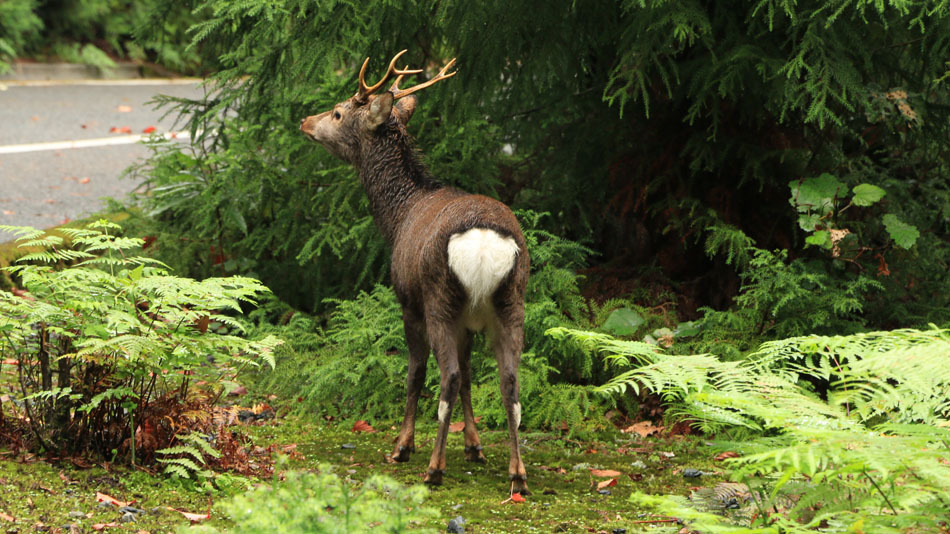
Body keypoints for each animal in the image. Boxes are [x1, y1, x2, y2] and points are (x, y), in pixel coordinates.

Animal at [302, 51, 532, 498]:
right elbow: (471, 376)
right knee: (509, 382)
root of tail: (484, 243)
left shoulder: (407, 300)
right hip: (510, 301)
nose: (305, 121)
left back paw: (433, 467)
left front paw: (402, 445)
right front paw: (474, 446)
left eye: (337, 112)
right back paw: (518, 474)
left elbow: (415, 372)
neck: (398, 215)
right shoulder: (468, 322)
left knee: (447, 377)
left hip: (439, 297)